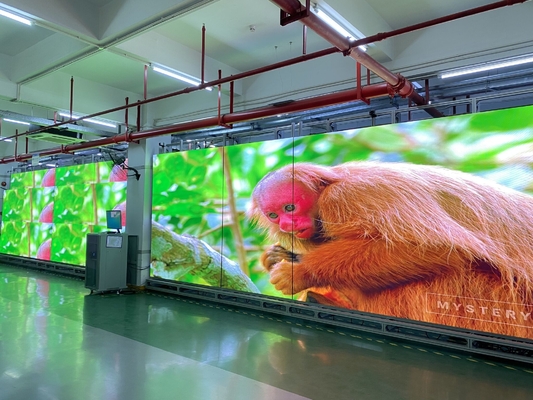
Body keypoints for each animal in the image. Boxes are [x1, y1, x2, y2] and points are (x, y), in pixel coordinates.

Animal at [248, 162, 532, 338]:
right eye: (273, 215)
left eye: (290, 207)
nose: (287, 225)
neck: (329, 186)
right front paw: (276, 256)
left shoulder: (348, 198)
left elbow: (434, 247)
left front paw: (300, 272)